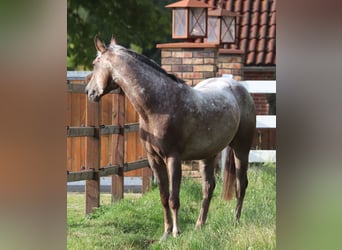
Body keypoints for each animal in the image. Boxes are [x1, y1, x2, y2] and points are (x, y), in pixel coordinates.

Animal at [85, 35, 256, 240]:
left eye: (95, 63)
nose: (89, 92)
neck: (158, 106)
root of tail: (239, 88)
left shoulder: (173, 158)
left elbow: (174, 198)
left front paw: (176, 232)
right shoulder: (155, 160)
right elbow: (164, 197)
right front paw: (166, 233)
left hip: (241, 149)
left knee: (241, 185)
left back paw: (235, 222)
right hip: (208, 155)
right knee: (208, 187)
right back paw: (200, 225)